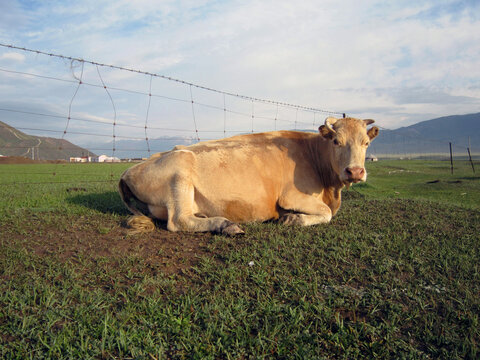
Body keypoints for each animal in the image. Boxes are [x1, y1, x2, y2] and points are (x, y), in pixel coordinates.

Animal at [119, 117, 378, 236]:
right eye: (336, 141)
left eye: (366, 143)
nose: (355, 171)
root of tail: (129, 171)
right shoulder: (290, 196)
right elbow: (326, 213)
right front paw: (294, 219)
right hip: (179, 174)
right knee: (178, 221)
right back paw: (225, 224)